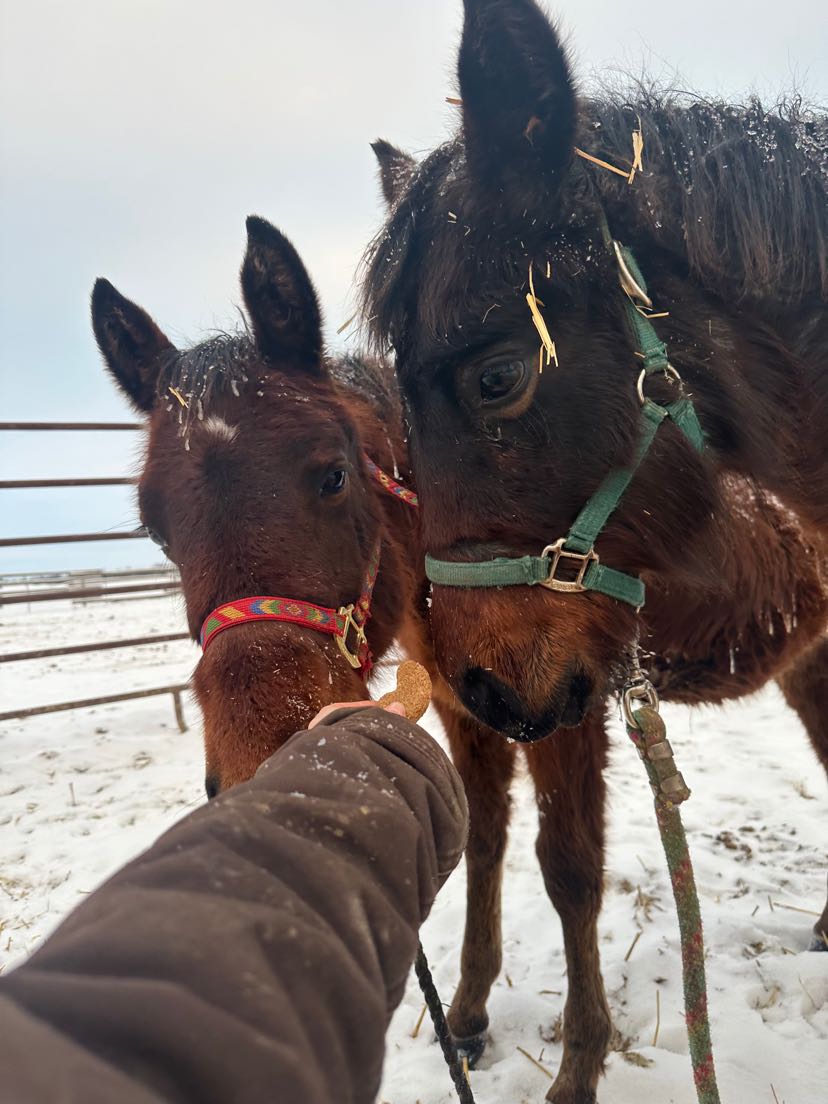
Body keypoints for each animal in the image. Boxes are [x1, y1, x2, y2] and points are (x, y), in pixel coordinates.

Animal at [361, 0, 828, 1099]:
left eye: (498, 376)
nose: (490, 682)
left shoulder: (567, 713)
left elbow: (568, 868)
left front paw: (577, 1065)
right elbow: (487, 841)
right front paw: (471, 1017)